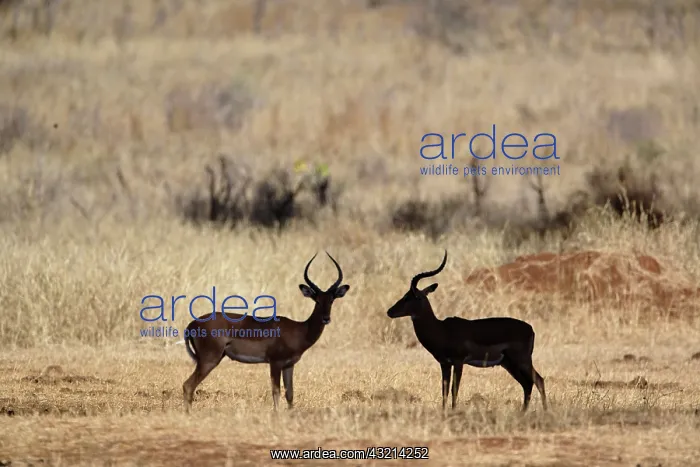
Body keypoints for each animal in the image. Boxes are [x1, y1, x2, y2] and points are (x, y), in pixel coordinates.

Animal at [182, 252, 350, 413]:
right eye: (317, 300)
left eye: (331, 300)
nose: (326, 318)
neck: (300, 330)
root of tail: (191, 324)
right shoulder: (275, 363)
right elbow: (276, 392)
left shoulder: (289, 365)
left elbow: (290, 393)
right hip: (209, 360)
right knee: (188, 385)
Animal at [386, 250, 547, 412]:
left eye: (409, 297)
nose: (390, 311)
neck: (441, 329)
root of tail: (530, 328)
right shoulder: (445, 364)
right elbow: (444, 389)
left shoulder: (458, 361)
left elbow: (454, 389)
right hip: (508, 363)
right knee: (527, 384)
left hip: (521, 360)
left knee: (538, 380)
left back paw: (545, 411)